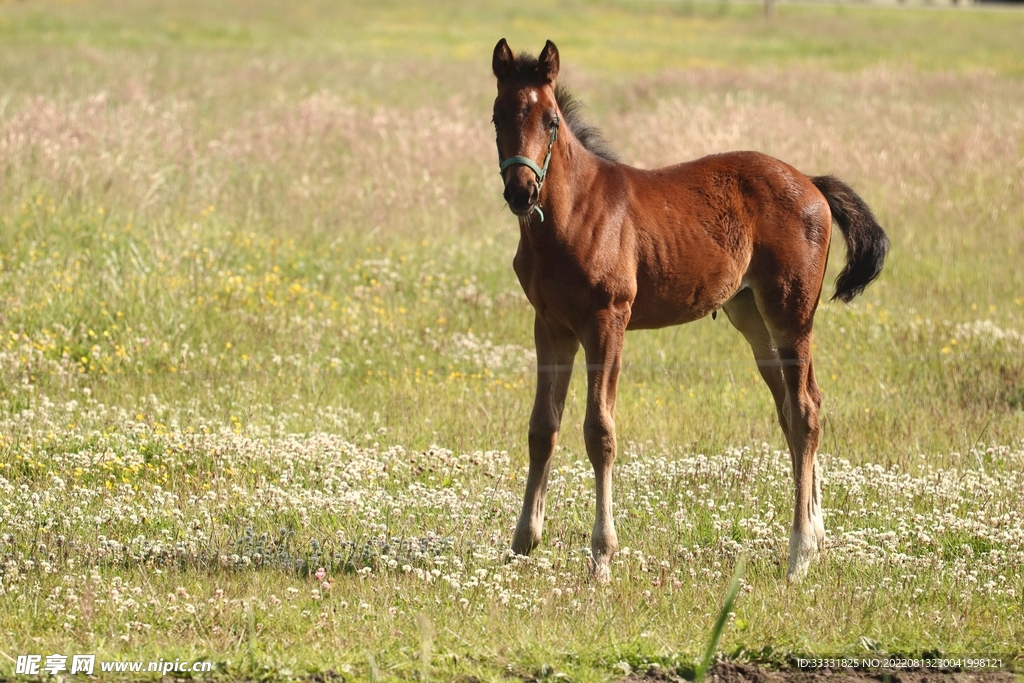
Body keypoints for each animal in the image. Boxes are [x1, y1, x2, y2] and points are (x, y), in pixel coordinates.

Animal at [491, 38, 889, 583]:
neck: (571, 214)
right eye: (497, 117)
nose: (520, 192)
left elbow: (599, 431)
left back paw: (800, 553)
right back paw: (817, 534)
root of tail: (810, 182)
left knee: (805, 409)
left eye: (551, 121)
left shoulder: (607, 320)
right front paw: (522, 543)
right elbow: (541, 428)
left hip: (791, 312)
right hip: (751, 315)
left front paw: (601, 557)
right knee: (796, 406)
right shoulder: (550, 324)